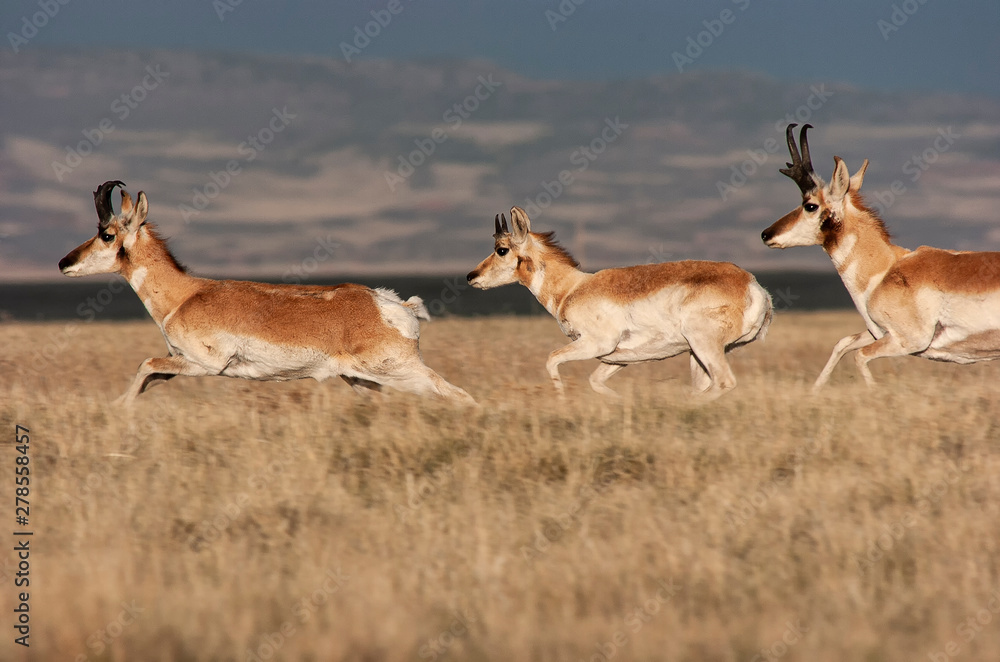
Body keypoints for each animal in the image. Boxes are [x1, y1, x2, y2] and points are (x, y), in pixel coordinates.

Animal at [58, 181, 476, 406]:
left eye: (106, 234)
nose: (63, 262)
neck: (186, 295)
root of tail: (392, 305)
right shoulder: (180, 362)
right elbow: (150, 376)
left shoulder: (205, 364)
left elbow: (144, 366)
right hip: (363, 382)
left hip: (401, 373)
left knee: (460, 397)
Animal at [467, 207, 773, 398]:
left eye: (501, 250)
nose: (471, 276)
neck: (572, 287)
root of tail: (752, 285)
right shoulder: (617, 358)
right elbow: (595, 382)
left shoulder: (595, 345)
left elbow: (551, 360)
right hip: (696, 354)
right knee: (703, 387)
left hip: (703, 345)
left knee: (723, 383)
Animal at [761, 124, 1000, 389]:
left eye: (810, 205)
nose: (766, 234)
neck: (886, 269)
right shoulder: (878, 332)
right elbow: (842, 343)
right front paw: (814, 391)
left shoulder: (907, 340)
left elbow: (859, 356)